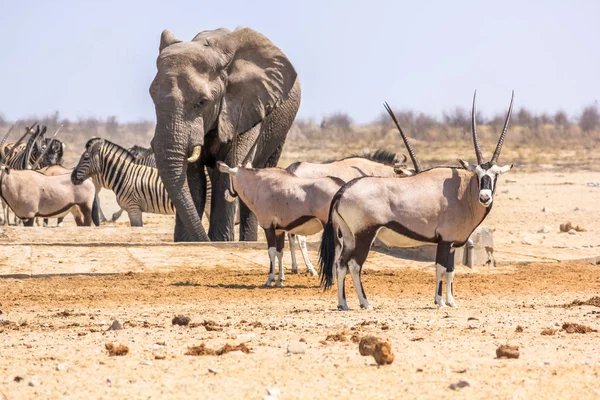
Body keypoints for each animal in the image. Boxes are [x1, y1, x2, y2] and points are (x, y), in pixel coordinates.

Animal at [150, 28, 300, 242]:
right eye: (152, 97)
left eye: (202, 102)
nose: (203, 239)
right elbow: (193, 177)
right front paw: (186, 241)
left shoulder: (246, 107)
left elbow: (228, 171)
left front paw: (219, 241)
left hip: (280, 129)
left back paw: (247, 241)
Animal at [318, 92, 516, 310]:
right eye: (478, 174)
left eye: (495, 174)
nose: (485, 197)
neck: (462, 192)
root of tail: (343, 191)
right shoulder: (445, 240)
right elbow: (440, 268)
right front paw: (439, 301)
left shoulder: (454, 245)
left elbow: (451, 271)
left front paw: (452, 302)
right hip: (364, 235)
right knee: (354, 265)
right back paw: (366, 303)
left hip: (349, 236)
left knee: (341, 264)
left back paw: (343, 304)